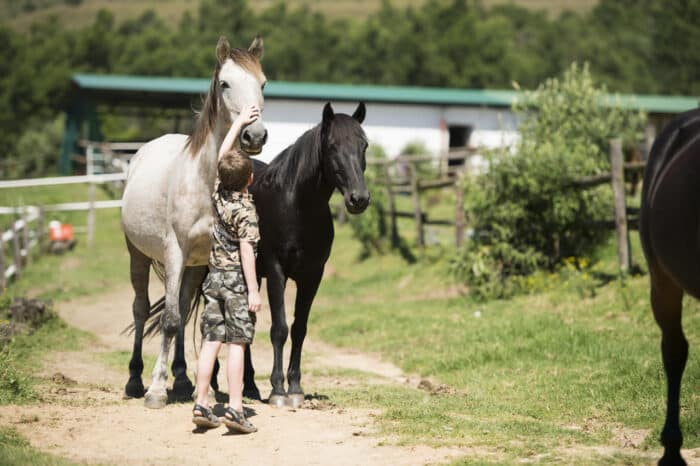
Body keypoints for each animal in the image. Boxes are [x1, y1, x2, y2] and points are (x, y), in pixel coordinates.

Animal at [121, 36, 266, 408]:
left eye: (262, 84)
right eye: (225, 83)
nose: (255, 136)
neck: (204, 182)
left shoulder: (203, 261)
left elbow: (189, 318)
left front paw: (191, 384)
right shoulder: (175, 252)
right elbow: (170, 320)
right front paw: (156, 390)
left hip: (193, 266)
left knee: (185, 309)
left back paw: (184, 380)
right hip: (138, 255)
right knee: (141, 310)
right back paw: (134, 381)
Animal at [238, 101, 372, 404]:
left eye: (364, 145)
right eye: (332, 146)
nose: (359, 199)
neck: (296, 205)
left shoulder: (312, 276)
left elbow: (299, 329)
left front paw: (295, 387)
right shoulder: (277, 271)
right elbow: (279, 328)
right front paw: (278, 390)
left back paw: (249, 386)